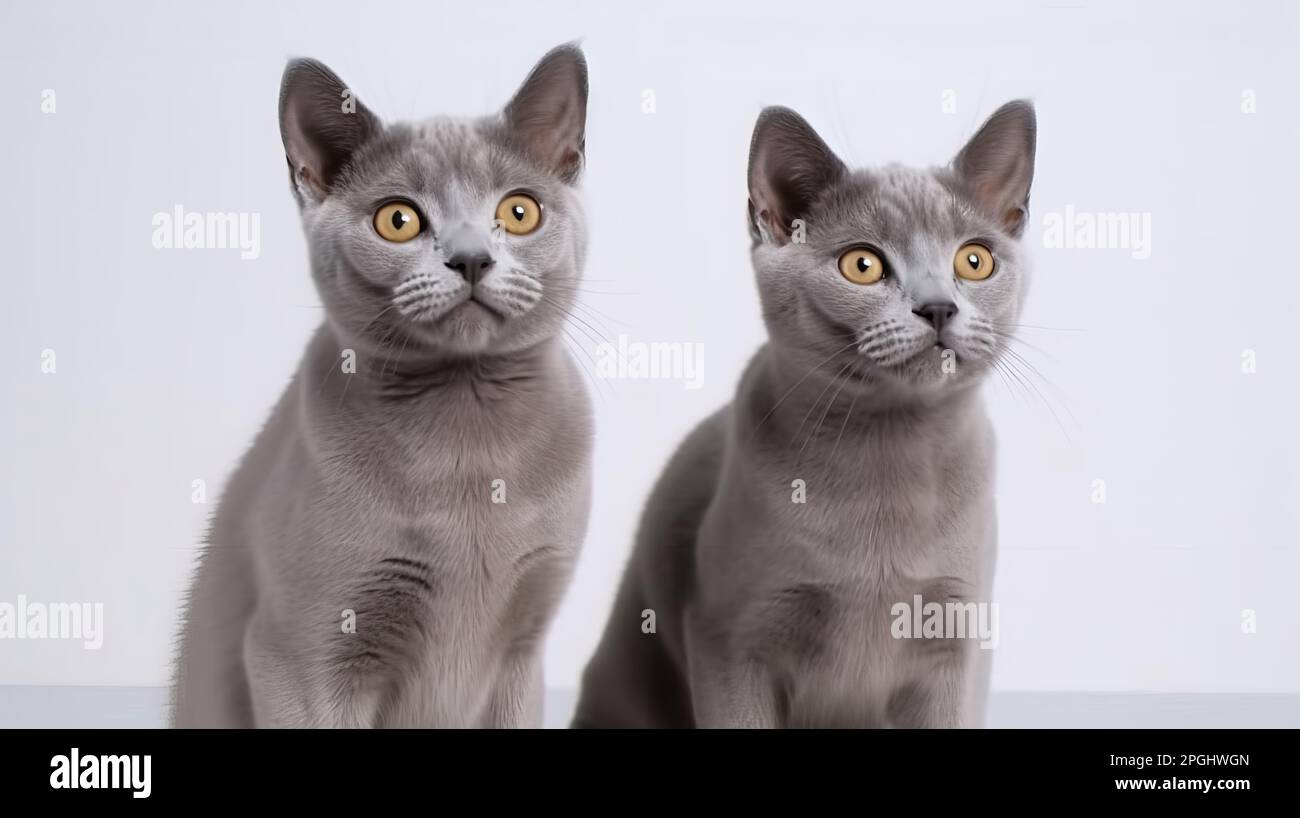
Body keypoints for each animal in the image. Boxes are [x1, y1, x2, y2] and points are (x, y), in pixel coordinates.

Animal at [574, 97, 1040, 728]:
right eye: (863, 266)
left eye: (974, 261)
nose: (939, 307)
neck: (886, 451)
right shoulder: (729, 637)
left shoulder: (955, 637)